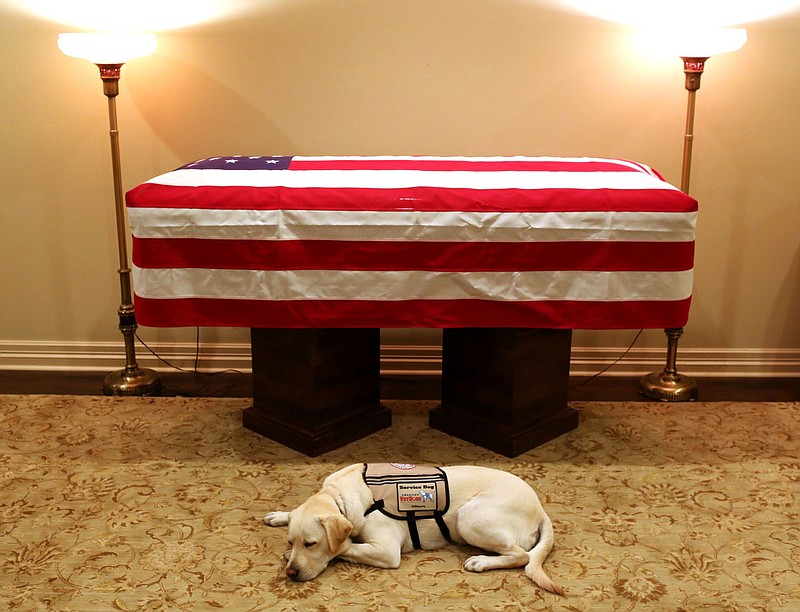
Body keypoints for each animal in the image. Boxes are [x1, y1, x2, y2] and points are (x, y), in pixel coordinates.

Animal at [262, 462, 564, 596]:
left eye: (311, 544)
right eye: (292, 540)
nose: (291, 573)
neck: (339, 497)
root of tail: (540, 507)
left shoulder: (386, 551)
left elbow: (346, 547)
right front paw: (280, 516)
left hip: (469, 517)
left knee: (522, 555)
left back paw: (480, 561)